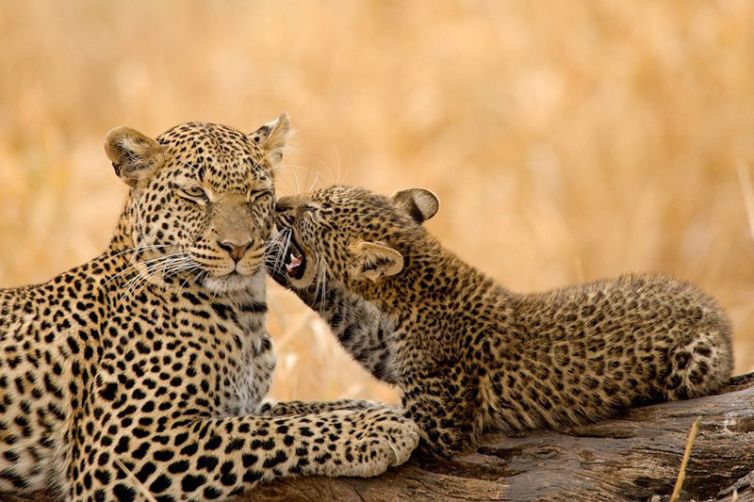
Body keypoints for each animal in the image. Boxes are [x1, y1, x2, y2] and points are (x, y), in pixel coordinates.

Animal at [0, 121, 419, 501]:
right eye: (195, 193)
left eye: (257, 192)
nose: (238, 246)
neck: (244, 312)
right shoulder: (121, 448)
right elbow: (268, 432)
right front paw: (376, 429)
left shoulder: (242, 401)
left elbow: (294, 409)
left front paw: (374, 408)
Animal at [271, 184, 733, 456]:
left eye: (315, 209)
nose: (279, 205)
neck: (412, 292)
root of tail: (716, 310)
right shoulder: (384, 349)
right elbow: (357, 393)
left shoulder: (438, 424)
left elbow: (366, 410)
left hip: (696, 360)